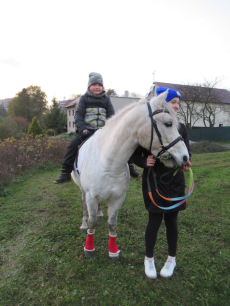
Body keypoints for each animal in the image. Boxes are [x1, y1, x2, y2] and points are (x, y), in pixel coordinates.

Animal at [72, 91, 189, 262]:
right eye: (168, 124)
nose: (185, 157)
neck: (108, 162)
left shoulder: (118, 198)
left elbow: (112, 224)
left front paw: (113, 251)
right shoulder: (91, 196)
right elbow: (93, 222)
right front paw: (89, 248)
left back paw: (100, 213)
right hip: (83, 191)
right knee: (84, 207)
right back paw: (83, 225)